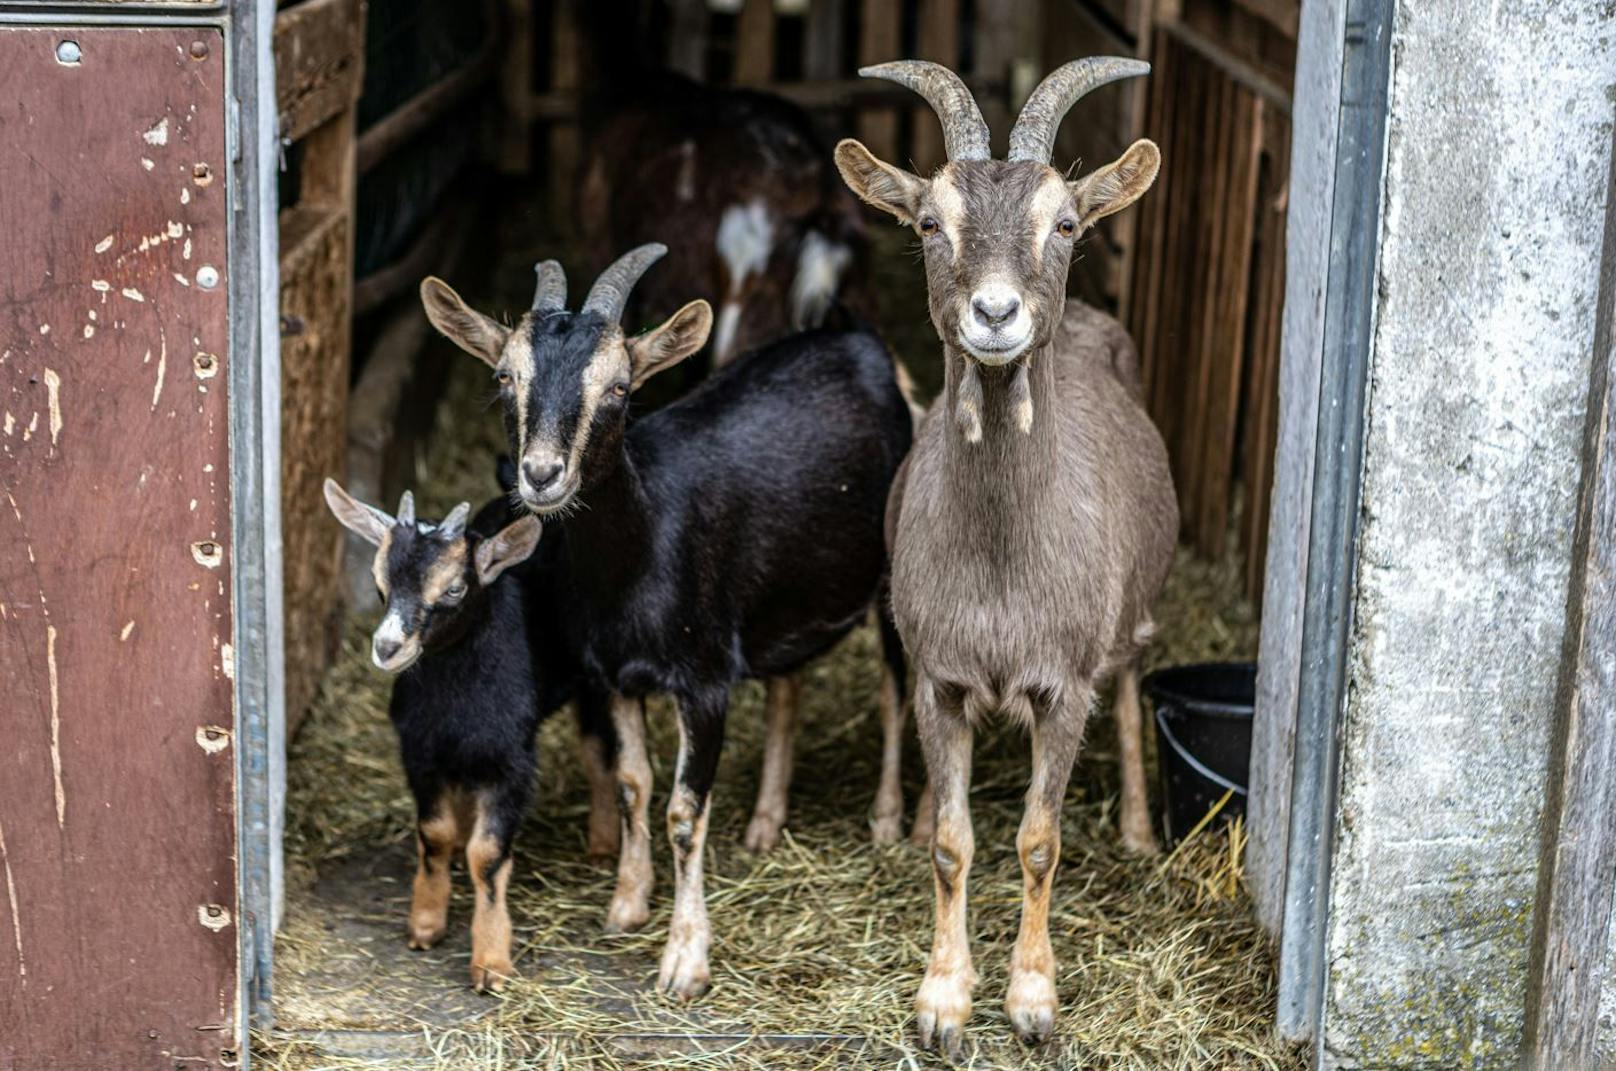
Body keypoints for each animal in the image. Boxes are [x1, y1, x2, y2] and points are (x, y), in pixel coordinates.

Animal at [324, 481, 614, 995]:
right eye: (379, 581)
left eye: (454, 588)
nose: (387, 648)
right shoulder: (418, 750)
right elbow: (434, 834)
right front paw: (425, 923)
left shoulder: (512, 762)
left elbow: (490, 856)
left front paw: (492, 962)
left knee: (599, 752)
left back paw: (602, 845)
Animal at [416, 247, 917, 1001]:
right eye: (506, 377)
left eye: (621, 387)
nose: (541, 474)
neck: (641, 552)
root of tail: (856, 337)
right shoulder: (614, 675)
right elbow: (632, 783)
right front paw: (626, 903)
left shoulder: (704, 680)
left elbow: (684, 812)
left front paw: (684, 959)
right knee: (789, 682)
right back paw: (766, 822)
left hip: (892, 573)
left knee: (894, 687)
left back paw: (891, 819)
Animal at [833, 60, 1176, 1053]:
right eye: (928, 222)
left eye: (1063, 223)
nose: (995, 313)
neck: (999, 566)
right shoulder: (941, 676)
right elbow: (955, 844)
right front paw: (944, 998)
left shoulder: (1063, 682)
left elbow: (1038, 838)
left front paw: (1031, 997)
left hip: (1131, 617)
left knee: (1132, 684)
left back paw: (1138, 829)